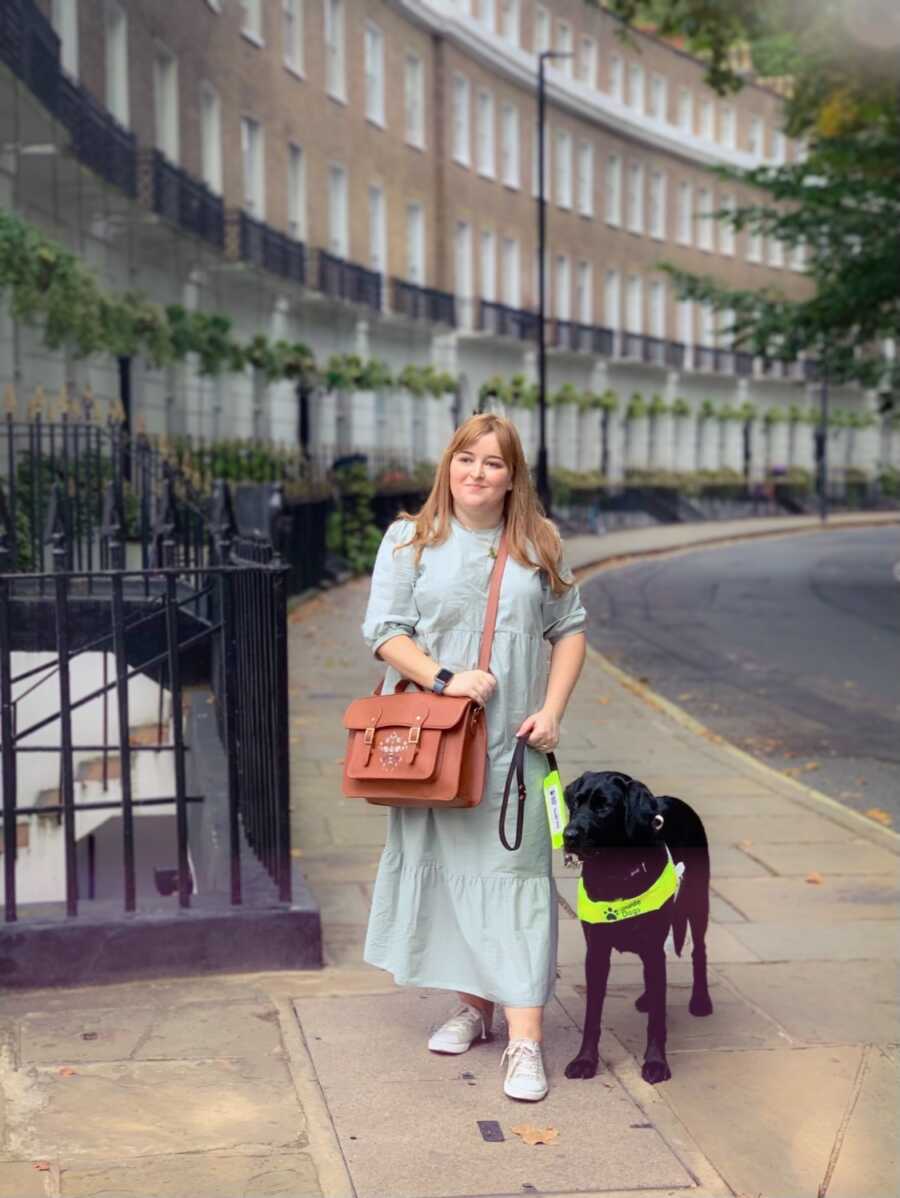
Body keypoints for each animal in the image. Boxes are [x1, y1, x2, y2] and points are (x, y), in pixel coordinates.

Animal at [560, 766, 714, 1087]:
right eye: (576, 803)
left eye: (604, 807)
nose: (568, 835)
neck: (614, 872)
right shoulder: (596, 953)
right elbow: (592, 1016)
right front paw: (585, 1060)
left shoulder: (654, 947)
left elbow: (656, 1021)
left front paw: (656, 1063)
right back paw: (646, 998)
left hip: (698, 901)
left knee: (699, 950)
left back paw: (701, 1001)